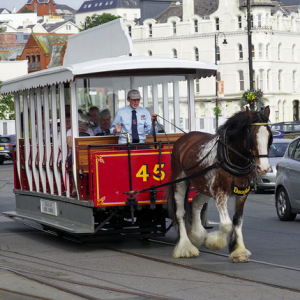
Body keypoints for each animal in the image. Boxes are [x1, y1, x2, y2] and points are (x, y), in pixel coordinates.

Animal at [169, 106, 272, 262]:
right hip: (180, 182)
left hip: (204, 186)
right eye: (252, 136)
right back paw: (185, 246)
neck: (233, 158)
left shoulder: (242, 193)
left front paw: (238, 251)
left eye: (269, 135)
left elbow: (237, 220)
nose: (264, 168)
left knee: (196, 204)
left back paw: (196, 235)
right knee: (180, 213)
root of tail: (184, 139)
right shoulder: (219, 192)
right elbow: (226, 223)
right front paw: (215, 243)